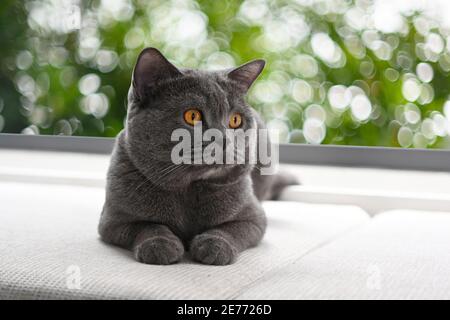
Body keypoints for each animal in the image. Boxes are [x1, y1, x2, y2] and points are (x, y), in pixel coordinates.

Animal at [97, 48, 298, 264]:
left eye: (236, 120)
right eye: (192, 116)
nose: (224, 140)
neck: (190, 189)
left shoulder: (253, 216)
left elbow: (232, 228)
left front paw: (215, 246)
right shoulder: (113, 220)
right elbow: (147, 225)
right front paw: (160, 244)